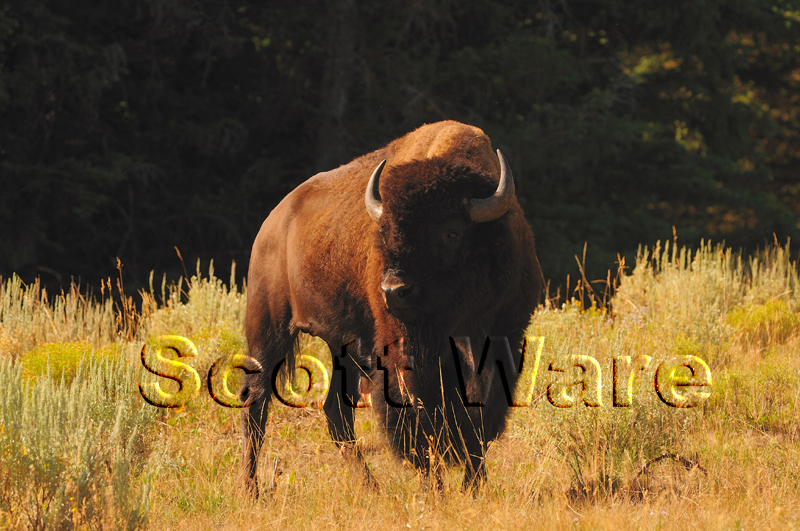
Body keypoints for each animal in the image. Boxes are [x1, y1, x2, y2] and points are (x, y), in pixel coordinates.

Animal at [241, 120, 542, 496]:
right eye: (384, 232)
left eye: (452, 233)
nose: (394, 291)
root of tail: (272, 222)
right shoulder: (404, 355)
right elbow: (420, 419)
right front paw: (435, 490)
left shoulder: (504, 339)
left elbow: (482, 418)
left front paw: (473, 486)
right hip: (269, 331)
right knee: (256, 404)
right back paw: (250, 490)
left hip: (343, 348)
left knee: (336, 413)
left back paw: (370, 486)